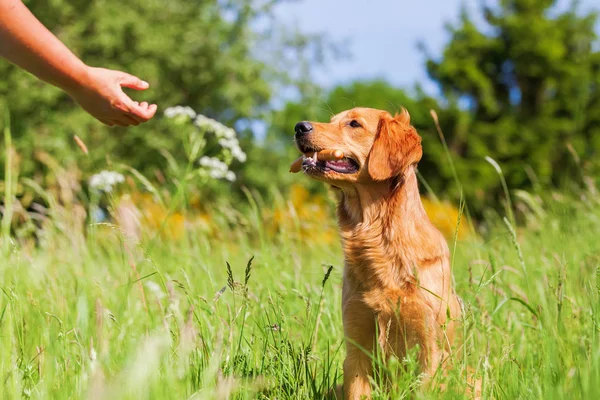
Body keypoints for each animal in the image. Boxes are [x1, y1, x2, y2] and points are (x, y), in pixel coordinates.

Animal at [292, 108, 462, 398]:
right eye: (333, 119)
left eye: (354, 123)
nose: (299, 127)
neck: (375, 238)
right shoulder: (357, 346)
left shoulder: (428, 349)